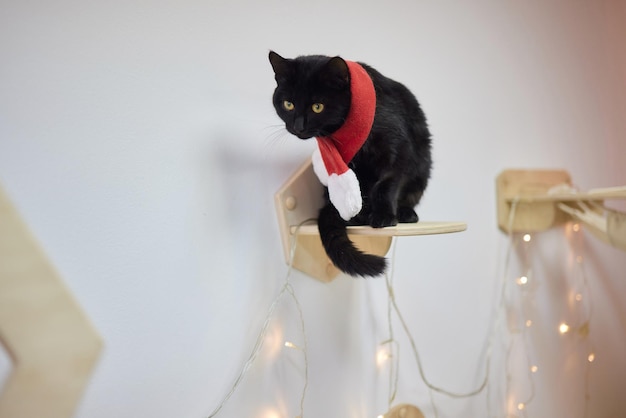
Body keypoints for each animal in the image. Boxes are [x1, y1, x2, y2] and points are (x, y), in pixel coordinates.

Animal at [268, 51, 428, 278]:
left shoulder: (398, 151)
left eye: (318, 107)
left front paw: (384, 216)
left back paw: (405, 213)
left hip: (422, 170)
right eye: (288, 104)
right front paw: (360, 216)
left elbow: (386, 185)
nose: (298, 127)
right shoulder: (348, 162)